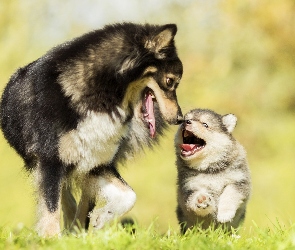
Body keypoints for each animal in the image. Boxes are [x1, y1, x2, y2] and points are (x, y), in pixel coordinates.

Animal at [0, 23, 184, 236]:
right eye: (170, 81)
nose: (180, 118)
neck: (102, 95)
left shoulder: (97, 162)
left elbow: (129, 195)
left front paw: (101, 217)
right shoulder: (50, 160)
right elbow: (51, 207)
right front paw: (50, 238)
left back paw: (78, 230)